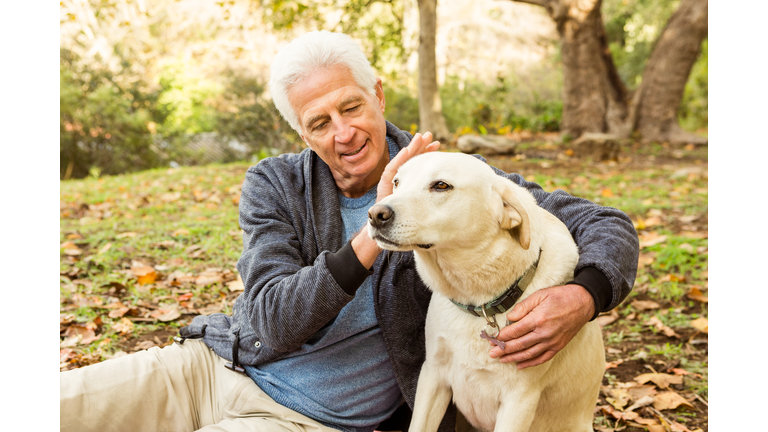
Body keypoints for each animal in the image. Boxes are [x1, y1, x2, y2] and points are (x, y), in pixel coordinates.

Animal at [366, 153, 608, 432]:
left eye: (441, 185)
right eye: (396, 182)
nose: (375, 214)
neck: (479, 304)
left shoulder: (519, 400)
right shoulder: (432, 375)